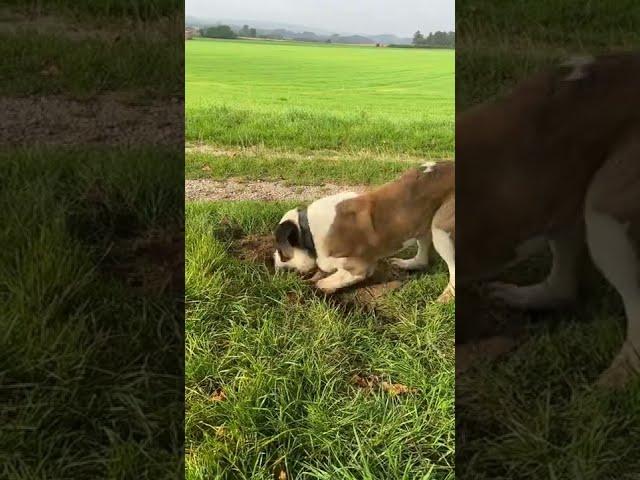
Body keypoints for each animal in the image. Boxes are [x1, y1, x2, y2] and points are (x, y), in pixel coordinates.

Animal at [274, 163, 456, 302]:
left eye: (282, 255)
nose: (275, 265)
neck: (307, 232)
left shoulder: (359, 268)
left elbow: (327, 281)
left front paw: (319, 289)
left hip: (441, 230)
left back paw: (446, 297)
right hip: (423, 219)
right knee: (423, 255)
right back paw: (408, 264)